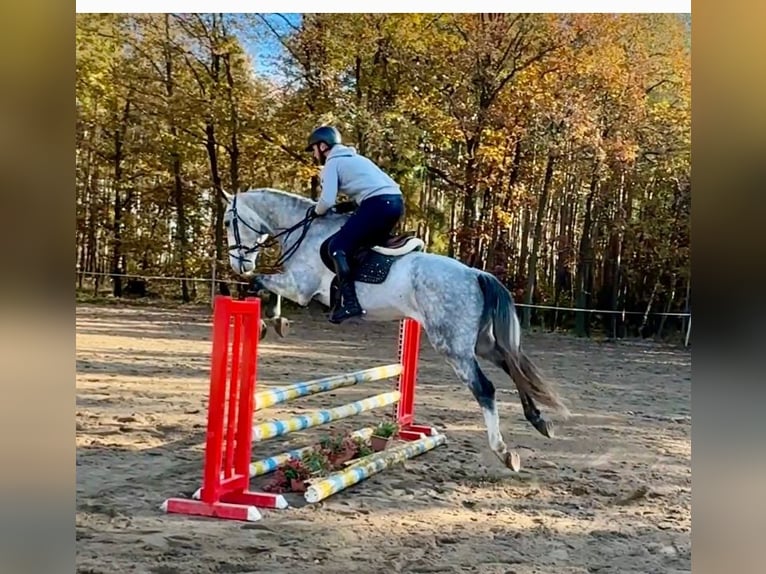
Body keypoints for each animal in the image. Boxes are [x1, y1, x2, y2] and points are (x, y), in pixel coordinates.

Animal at [222, 189, 568, 472]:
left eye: (227, 222)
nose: (239, 264)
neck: (304, 232)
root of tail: (475, 274)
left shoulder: (300, 288)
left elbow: (261, 283)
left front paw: (269, 321)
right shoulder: (298, 287)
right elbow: (265, 284)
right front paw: (275, 321)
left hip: (452, 346)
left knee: (485, 388)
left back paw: (503, 452)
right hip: (481, 343)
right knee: (511, 365)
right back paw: (540, 422)